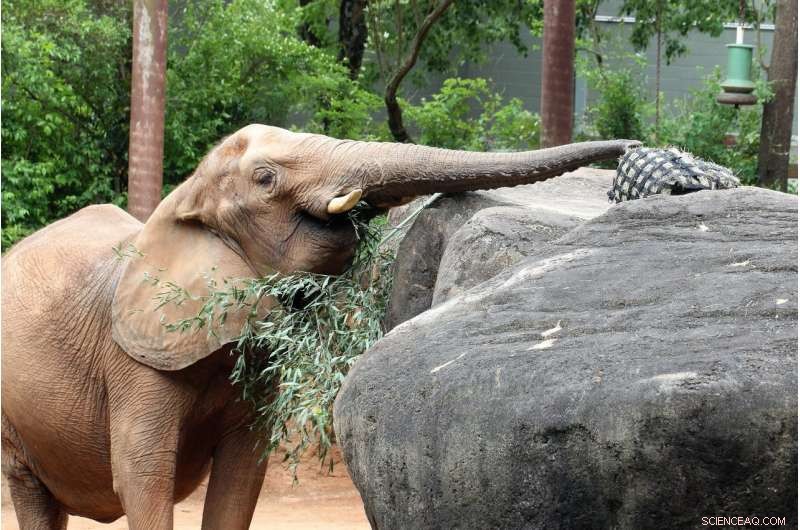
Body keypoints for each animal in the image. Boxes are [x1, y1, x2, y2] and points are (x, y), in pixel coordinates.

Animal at [1, 123, 639, 529]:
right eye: (265, 179)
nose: (634, 144)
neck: (181, 200)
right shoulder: (135, 364)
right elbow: (143, 478)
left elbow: (242, 475)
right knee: (31, 495)